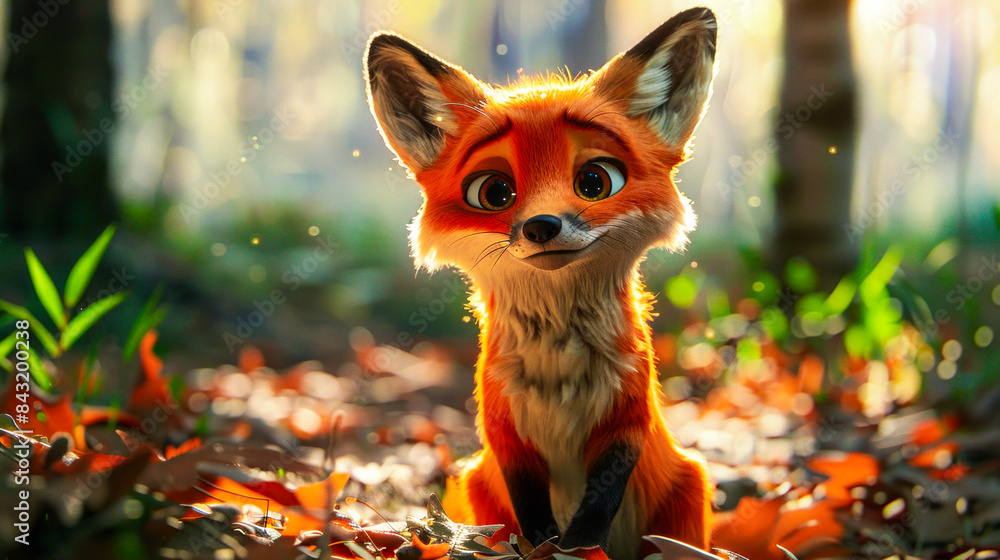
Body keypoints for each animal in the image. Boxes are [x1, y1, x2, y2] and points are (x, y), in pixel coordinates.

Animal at [364, 7, 718, 560]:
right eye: (494, 191)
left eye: (595, 181)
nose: (542, 225)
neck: (559, 368)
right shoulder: (505, 432)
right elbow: (533, 513)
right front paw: (545, 547)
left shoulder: (626, 420)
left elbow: (595, 510)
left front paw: (578, 548)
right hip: (478, 484)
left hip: (689, 487)